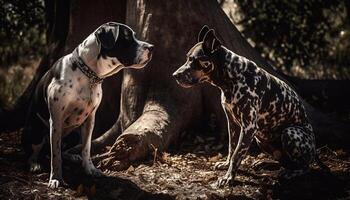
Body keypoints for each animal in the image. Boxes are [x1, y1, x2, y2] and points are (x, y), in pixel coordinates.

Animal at [173, 25, 328, 187]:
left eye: (193, 60)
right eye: (187, 58)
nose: (174, 75)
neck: (233, 77)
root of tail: (315, 150)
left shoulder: (248, 127)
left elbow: (237, 155)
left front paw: (228, 177)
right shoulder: (232, 124)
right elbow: (231, 148)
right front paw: (226, 165)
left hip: (290, 132)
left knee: (304, 166)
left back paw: (291, 173)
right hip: (262, 139)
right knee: (285, 161)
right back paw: (265, 163)